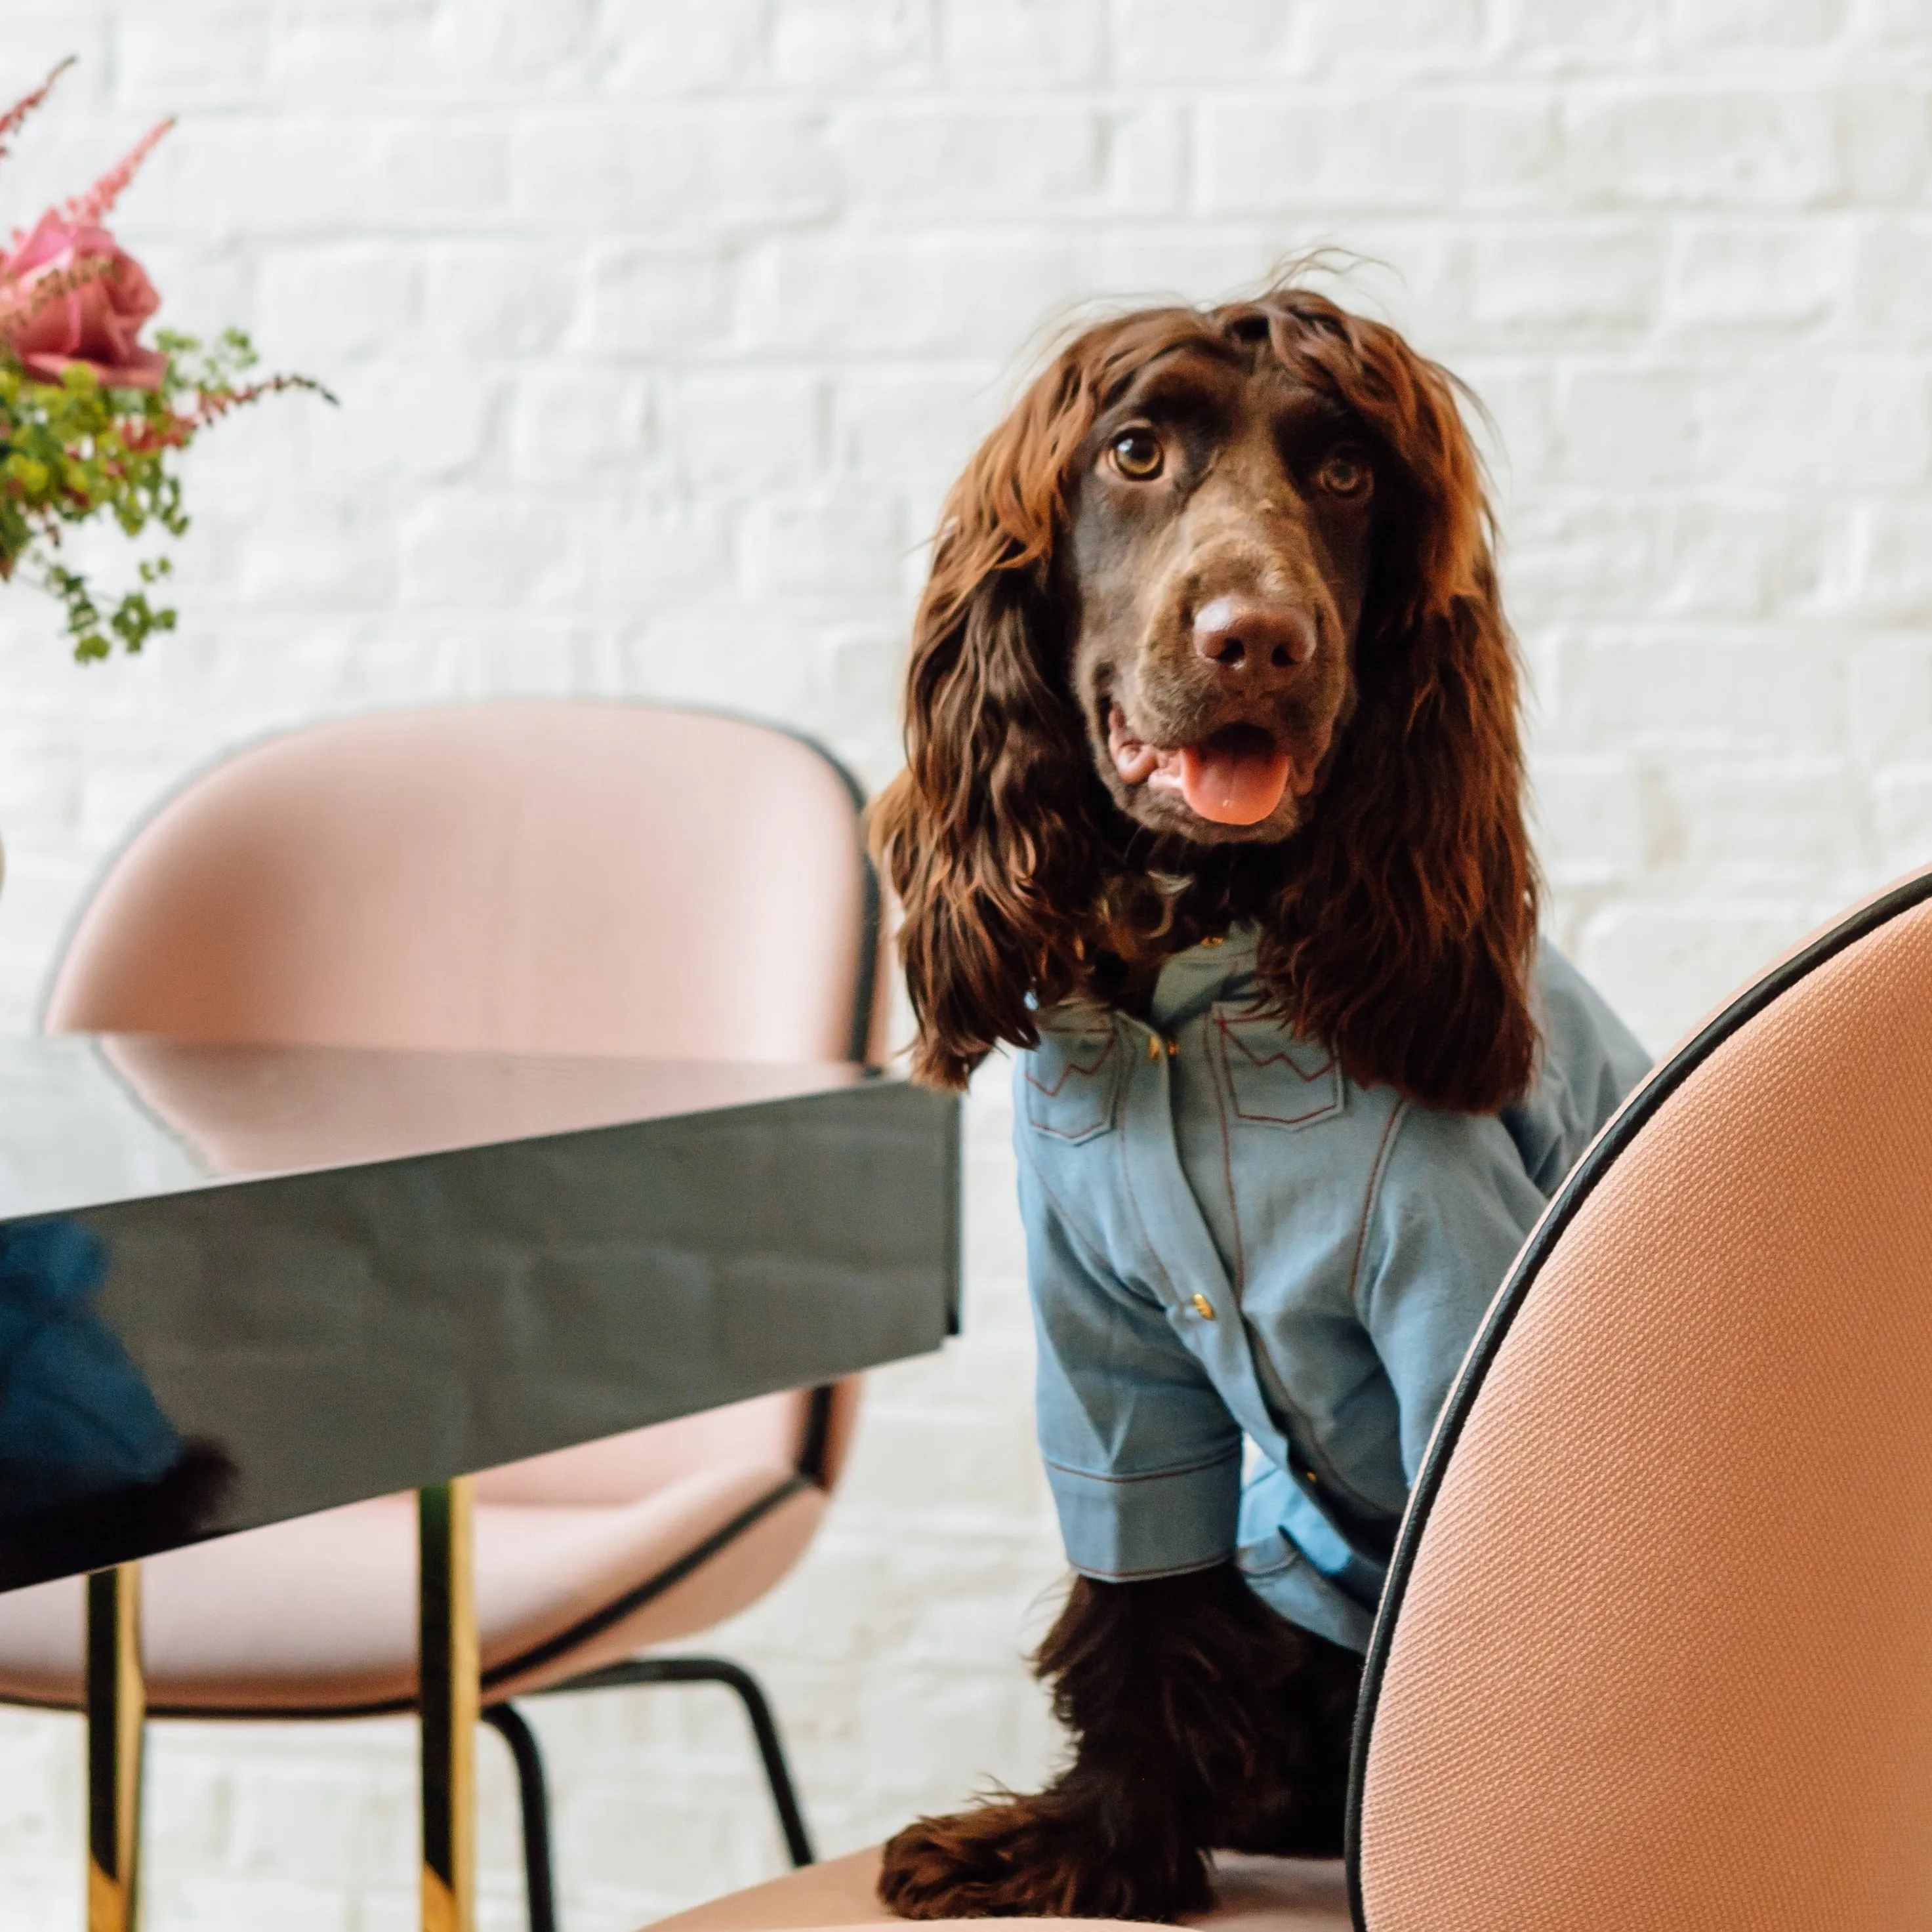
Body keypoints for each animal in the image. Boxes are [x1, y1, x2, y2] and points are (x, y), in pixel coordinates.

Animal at [877, 281, 1538, 1916]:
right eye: (1133, 449)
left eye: (1347, 474)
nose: (1258, 640)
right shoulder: (1103, 1333)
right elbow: (1139, 1567)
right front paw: (1095, 1845)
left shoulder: (1463, 1296)